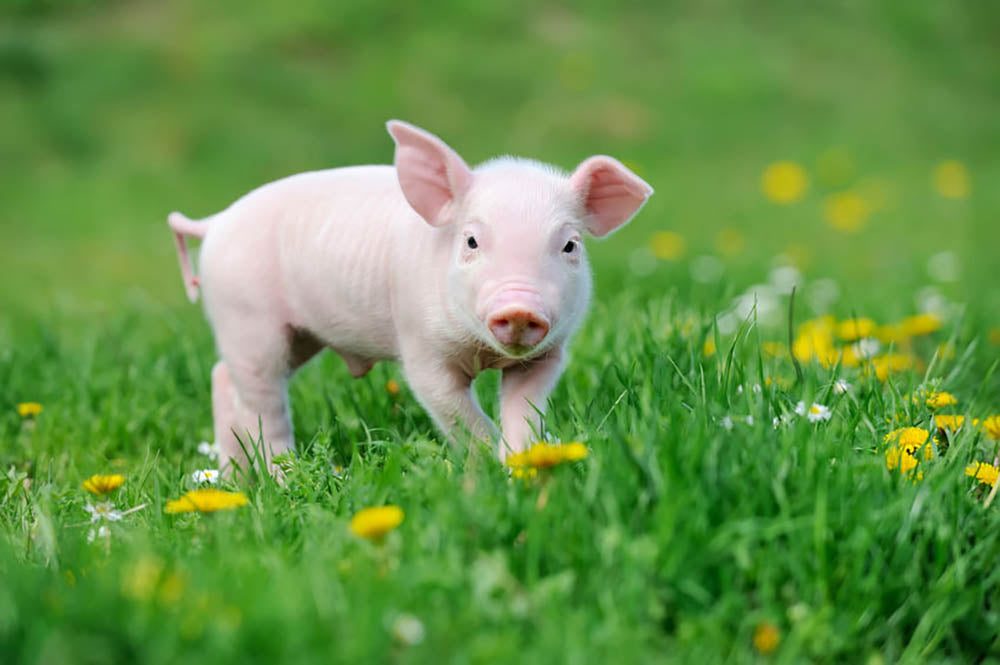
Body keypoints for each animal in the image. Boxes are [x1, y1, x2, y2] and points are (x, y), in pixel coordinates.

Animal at [168, 120, 652, 475]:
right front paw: (486, 472)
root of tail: (214, 222)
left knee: (224, 381)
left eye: (570, 245)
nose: (519, 307)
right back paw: (284, 478)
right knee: (262, 405)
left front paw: (523, 466)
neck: (483, 353)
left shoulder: (547, 355)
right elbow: (457, 413)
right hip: (246, 319)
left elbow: (524, 410)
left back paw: (233, 482)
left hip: (295, 334)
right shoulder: (421, 350)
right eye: (471, 241)